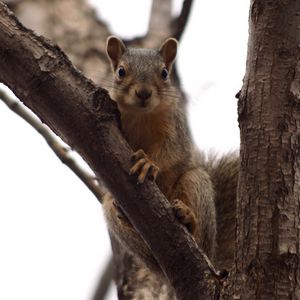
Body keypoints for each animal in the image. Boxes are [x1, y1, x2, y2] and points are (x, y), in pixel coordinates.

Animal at [102, 35, 238, 282]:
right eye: (121, 71)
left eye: (164, 73)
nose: (143, 93)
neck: (141, 115)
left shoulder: (175, 125)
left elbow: (172, 150)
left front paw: (149, 163)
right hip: (110, 208)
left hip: (195, 181)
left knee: (200, 240)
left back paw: (188, 220)